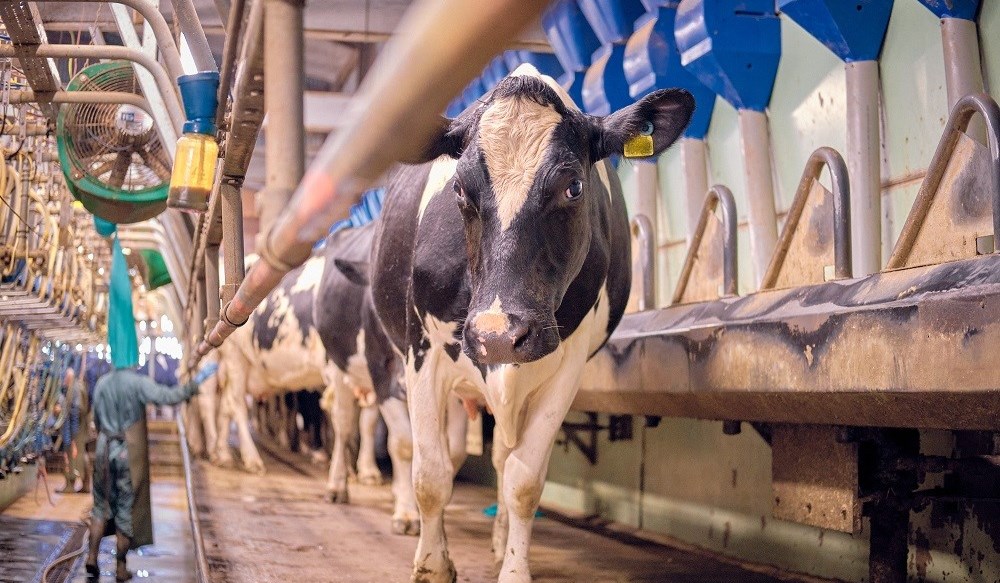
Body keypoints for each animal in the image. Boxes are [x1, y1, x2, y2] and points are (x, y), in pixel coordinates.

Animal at [369, 64, 693, 582]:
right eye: (458, 190)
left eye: (573, 187)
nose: (498, 335)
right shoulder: (423, 353)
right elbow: (430, 475)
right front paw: (433, 565)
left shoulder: (567, 366)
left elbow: (523, 480)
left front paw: (514, 567)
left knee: (504, 460)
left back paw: (501, 541)